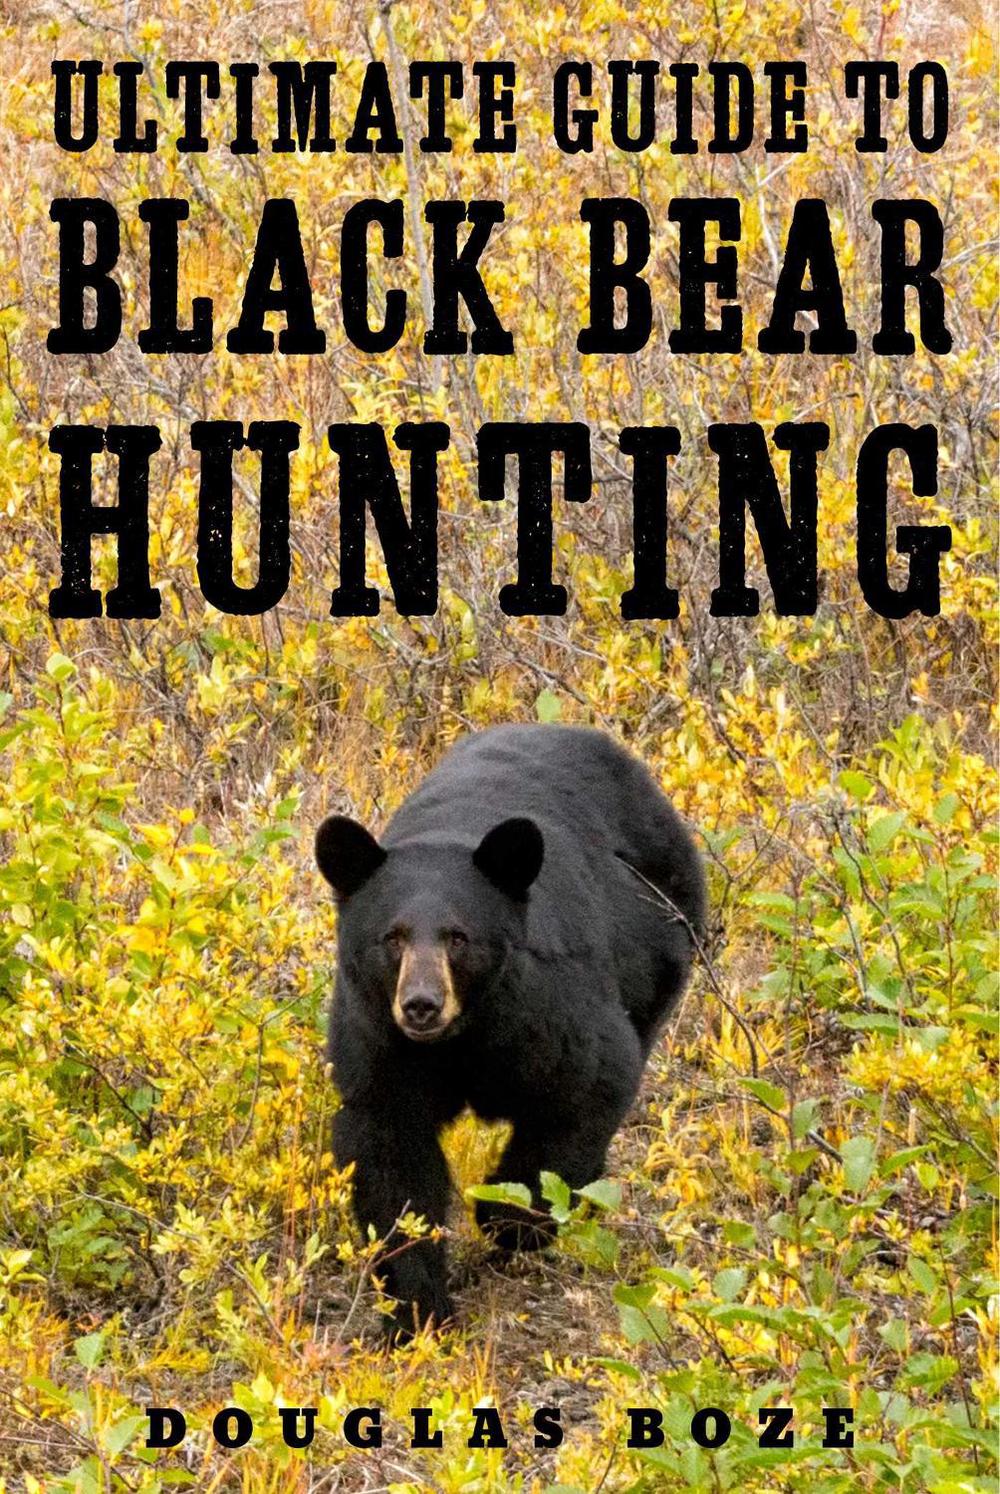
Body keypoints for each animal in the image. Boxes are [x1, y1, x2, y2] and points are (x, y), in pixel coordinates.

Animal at [315, 723, 706, 1340]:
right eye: (392, 937)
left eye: (458, 937)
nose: (421, 1005)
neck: (461, 1039)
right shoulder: (378, 1038)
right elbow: (389, 1155)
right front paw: (418, 1311)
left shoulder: (545, 1008)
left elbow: (585, 1090)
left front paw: (508, 1217)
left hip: (664, 936)